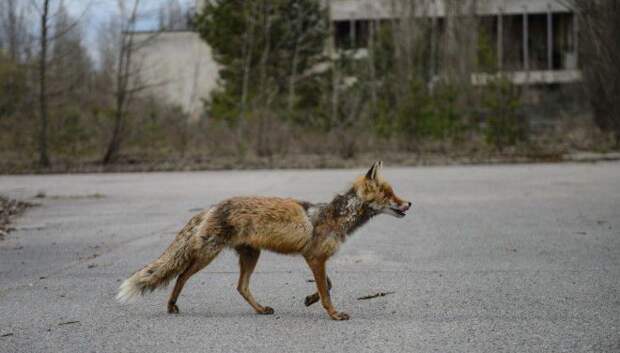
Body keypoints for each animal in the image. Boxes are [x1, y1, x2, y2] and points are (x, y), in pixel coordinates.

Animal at [118, 161, 412, 320]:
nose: (409, 204)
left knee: (241, 287)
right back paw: (171, 305)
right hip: (207, 255)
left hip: (251, 255)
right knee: (181, 276)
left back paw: (260, 309)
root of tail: (213, 206)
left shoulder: (316, 258)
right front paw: (333, 314)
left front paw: (309, 299)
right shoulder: (315, 257)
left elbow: (327, 285)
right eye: (389, 195)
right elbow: (328, 291)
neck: (334, 217)